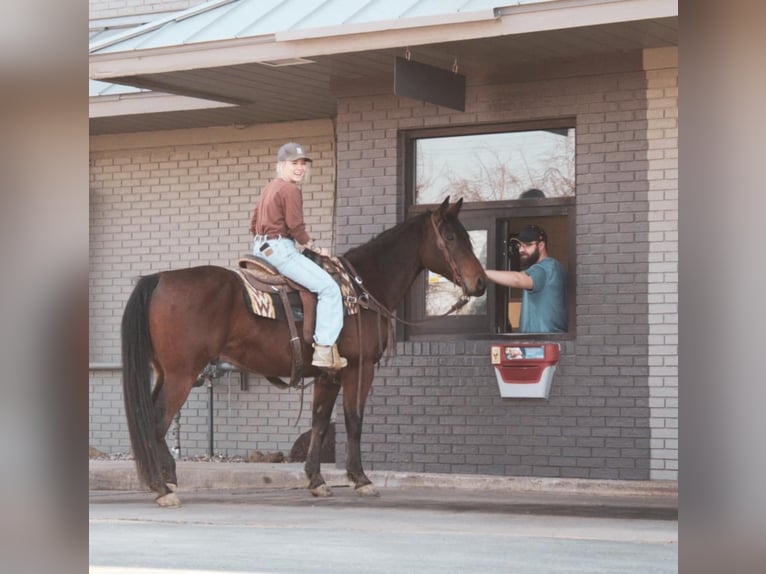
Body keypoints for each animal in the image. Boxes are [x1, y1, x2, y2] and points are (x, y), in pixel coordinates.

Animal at [123, 198, 488, 508]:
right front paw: (361, 479)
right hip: (181, 375)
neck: (362, 289)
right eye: (451, 237)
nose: (481, 283)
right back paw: (162, 488)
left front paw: (317, 481)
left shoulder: (328, 375)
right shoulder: (359, 369)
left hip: (165, 372)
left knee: (149, 419)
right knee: (156, 421)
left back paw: (166, 481)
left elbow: (320, 422)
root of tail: (159, 278)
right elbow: (354, 420)